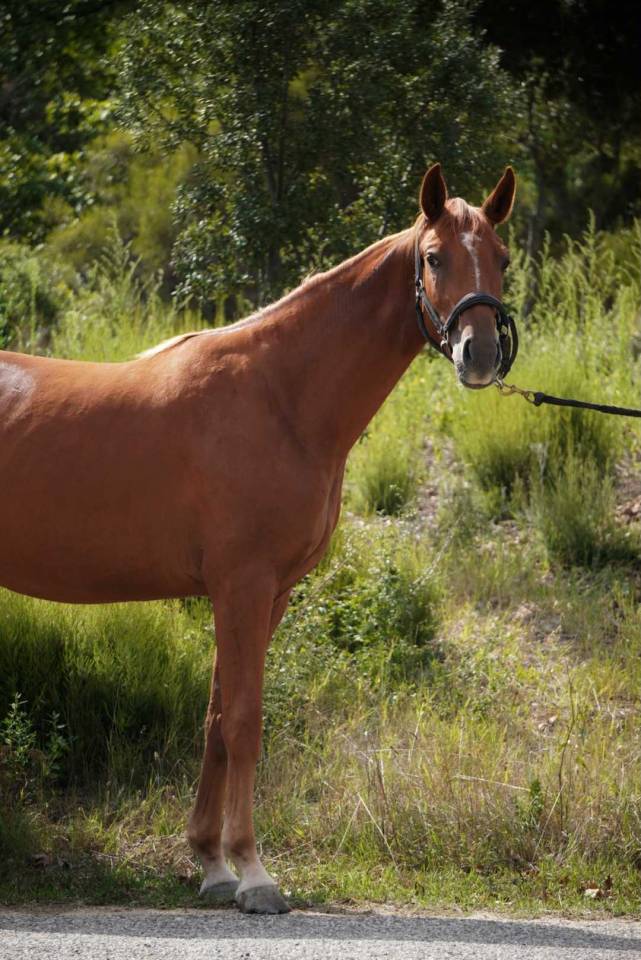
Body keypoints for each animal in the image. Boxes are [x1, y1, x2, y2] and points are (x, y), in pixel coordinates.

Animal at [0, 163, 516, 913]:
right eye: (433, 258)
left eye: (501, 259)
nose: (478, 355)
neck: (280, 395)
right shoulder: (240, 585)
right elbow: (244, 722)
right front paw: (252, 873)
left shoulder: (267, 595)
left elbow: (217, 719)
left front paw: (211, 864)